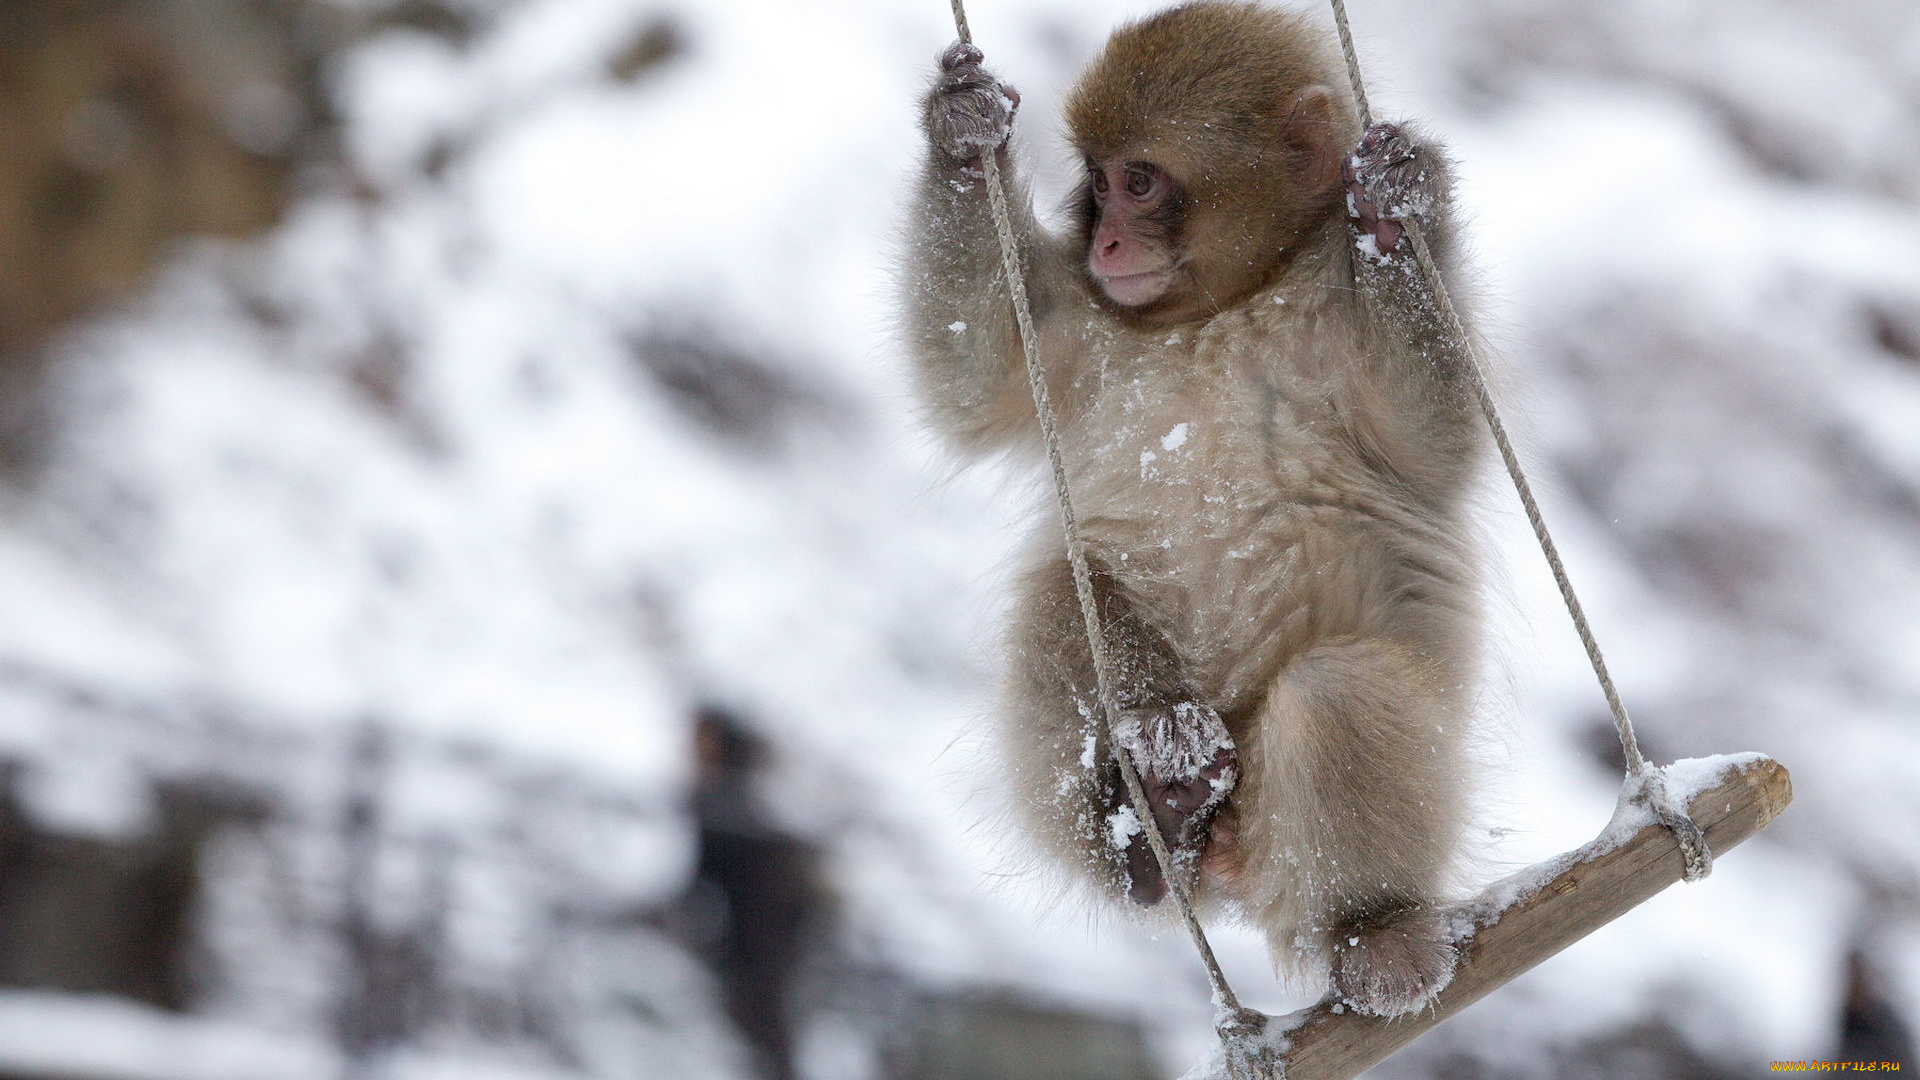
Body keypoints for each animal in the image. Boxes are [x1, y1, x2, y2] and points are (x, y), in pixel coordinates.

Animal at [902, 1, 1485, 1018]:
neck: (1227, 304)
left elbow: (1435, 443)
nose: (1107, 242)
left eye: (1139, 182)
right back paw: (1155, 818)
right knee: (1066, 592)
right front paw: (964, 133)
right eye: (1097, 184)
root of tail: (1234, 868)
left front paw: (1391, 211)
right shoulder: (1089, 327)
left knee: (1335, 692)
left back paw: (1373, 928)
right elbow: (975, 372)